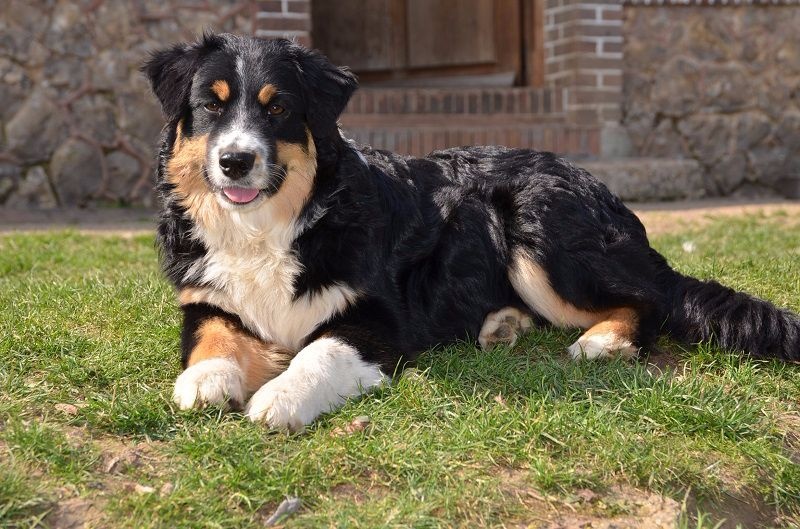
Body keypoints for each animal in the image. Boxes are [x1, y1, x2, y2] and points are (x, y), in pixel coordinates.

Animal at [144, 32, 800, 428]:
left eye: (277, 108)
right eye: (209, 106)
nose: (235, 160)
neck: (274, 226)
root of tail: (599, 186)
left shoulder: (380, 317)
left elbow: (318, 353)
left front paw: (278, 398)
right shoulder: (207, 299)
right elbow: (211, 338)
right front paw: (205, 381)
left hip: (535, 229)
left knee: (650, 301)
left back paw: (603, 341)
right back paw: (502, 325)